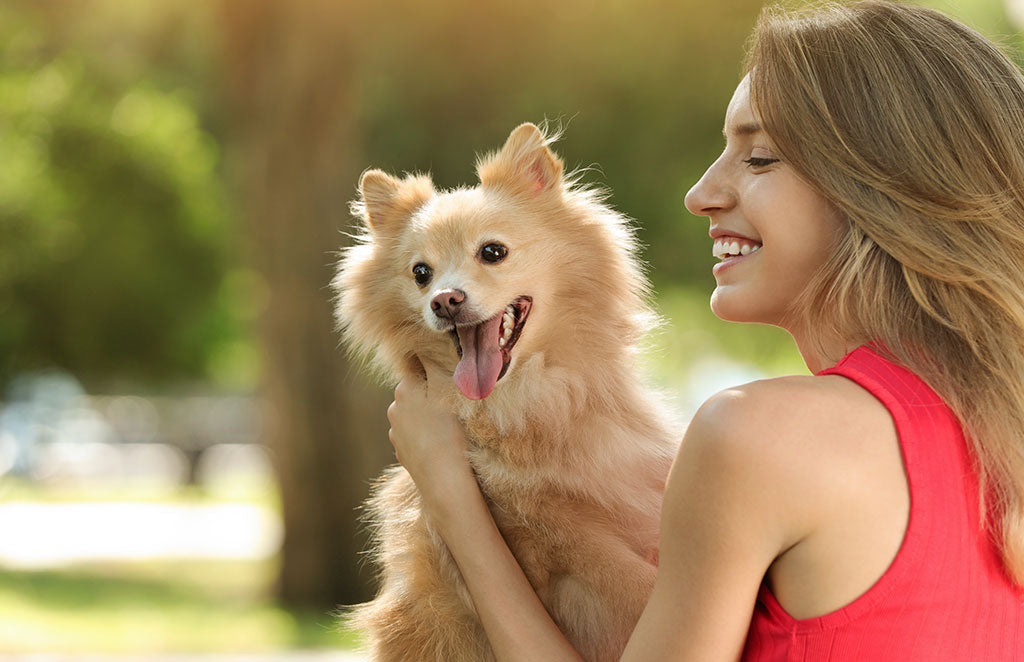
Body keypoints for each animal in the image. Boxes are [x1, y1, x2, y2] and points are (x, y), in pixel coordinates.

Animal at [333, 124, 679, 662]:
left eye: (492, 252)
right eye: (420, 273)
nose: (444, 300)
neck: (528, 401)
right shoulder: (555, 541)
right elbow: (629, 582)